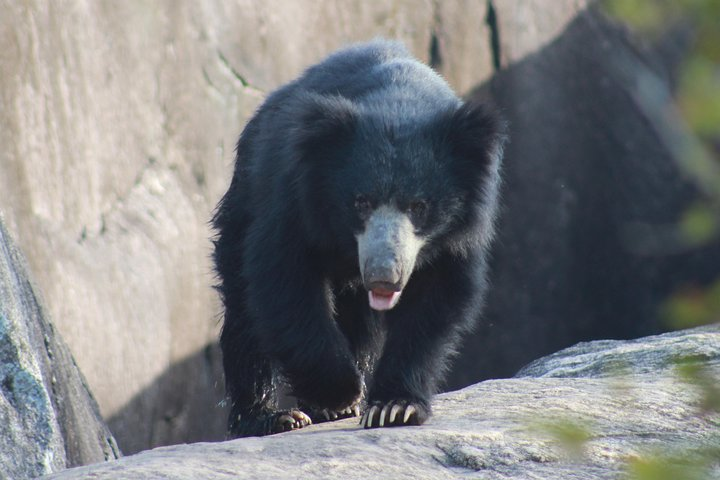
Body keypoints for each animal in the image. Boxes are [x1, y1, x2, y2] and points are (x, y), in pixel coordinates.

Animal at [214, 40, 506, 438]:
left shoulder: (460, 234)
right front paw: (340, 392)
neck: (398, 103)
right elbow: (283, 279)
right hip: (243, 203)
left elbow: (436, 302)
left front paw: (393, 407)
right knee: (243, 313)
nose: (384, 275)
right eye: (361, 202)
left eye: (419, 206)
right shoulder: (294, 196)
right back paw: (274, 417)